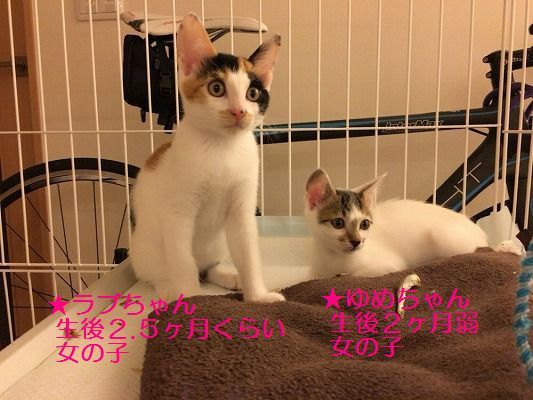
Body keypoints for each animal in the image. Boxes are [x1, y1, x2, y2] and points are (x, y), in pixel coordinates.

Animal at [129, 13, 284, 303]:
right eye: (216, 88)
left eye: (253, 94)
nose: (238, 111)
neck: (221, 147)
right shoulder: (178, 213)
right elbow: (182, 262)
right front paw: (193, 300)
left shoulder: (242, 209)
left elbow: (249, 254)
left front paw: (258, 295)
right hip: (144, 249)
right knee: (160, 272)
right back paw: (169, 288)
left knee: (207, 267)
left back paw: (229, 275)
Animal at [304, 168, 489, 278]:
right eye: (338, 223)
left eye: (364, 224)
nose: (357, 242)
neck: (334, 258)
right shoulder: (314, 274)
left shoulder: (390, 265)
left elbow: (355, 275)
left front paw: (343, 275)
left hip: (444, 238)